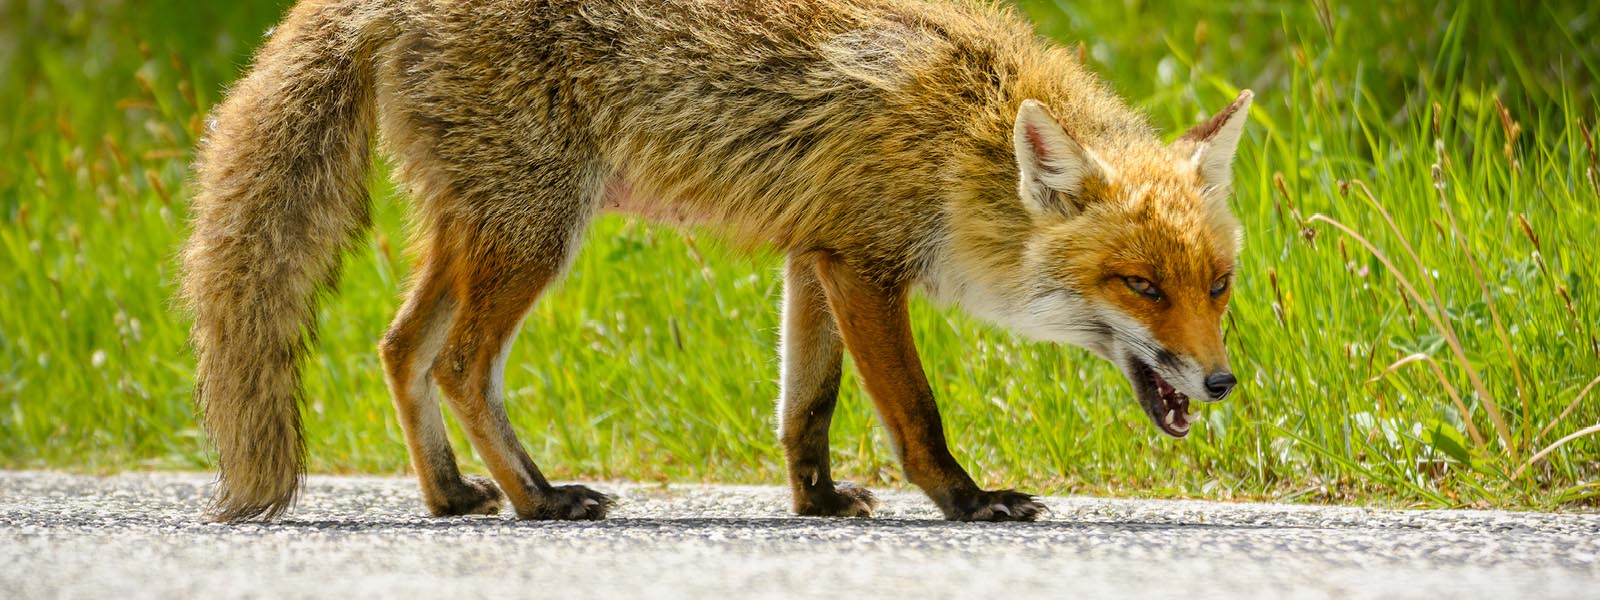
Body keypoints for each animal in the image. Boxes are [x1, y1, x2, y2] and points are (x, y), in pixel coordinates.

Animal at [181, 0, 1251, 523]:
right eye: (1140, 286)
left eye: (1217, 287)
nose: (1222, 382)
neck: (963, 135)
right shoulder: (866, 266)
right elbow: (914, 413)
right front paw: (967, 501)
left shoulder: (817, 257)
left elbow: (804, 409)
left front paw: (816, 504)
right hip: (536, 232)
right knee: (457, 364)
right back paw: (538, 500)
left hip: (481, 230)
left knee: (400, 349)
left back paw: (450, 497)